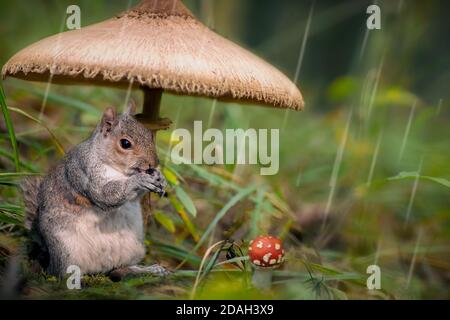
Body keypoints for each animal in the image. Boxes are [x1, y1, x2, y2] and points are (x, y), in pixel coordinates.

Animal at [21, 101, 169, 278]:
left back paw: (148, 269)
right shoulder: (86, 172)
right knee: (64, 274)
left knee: (121, 269)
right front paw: (139, 180)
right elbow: (105, 195)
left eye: (149, 134)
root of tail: (98, 269)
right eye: (125, 143)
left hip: (133, 247)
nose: (153, 163)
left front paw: (161, 178)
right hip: (66, 251)